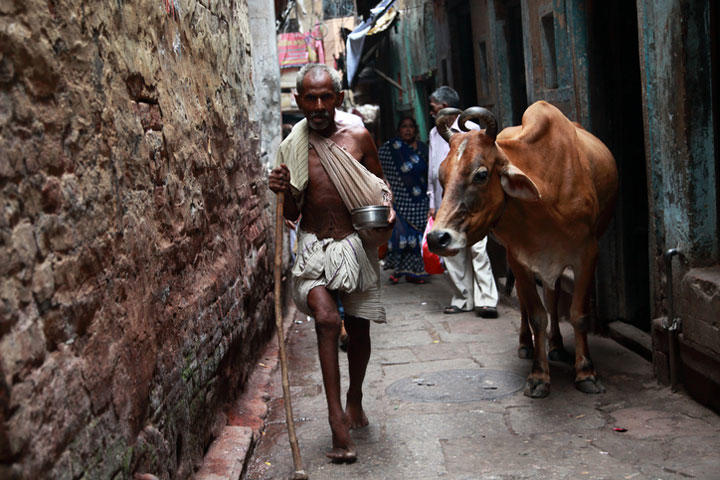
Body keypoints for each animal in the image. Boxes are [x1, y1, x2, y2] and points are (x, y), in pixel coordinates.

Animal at [428, 100, 620, 398]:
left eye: (481, 174)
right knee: (530, 308)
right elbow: (537, 315)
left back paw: (556, 346)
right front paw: (539, 376)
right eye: (441, 176)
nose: (438, 238)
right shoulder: (520, 258)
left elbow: (577, 313)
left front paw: (586, 372)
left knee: (553, 295)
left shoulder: (587, 253)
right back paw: (527, 345)